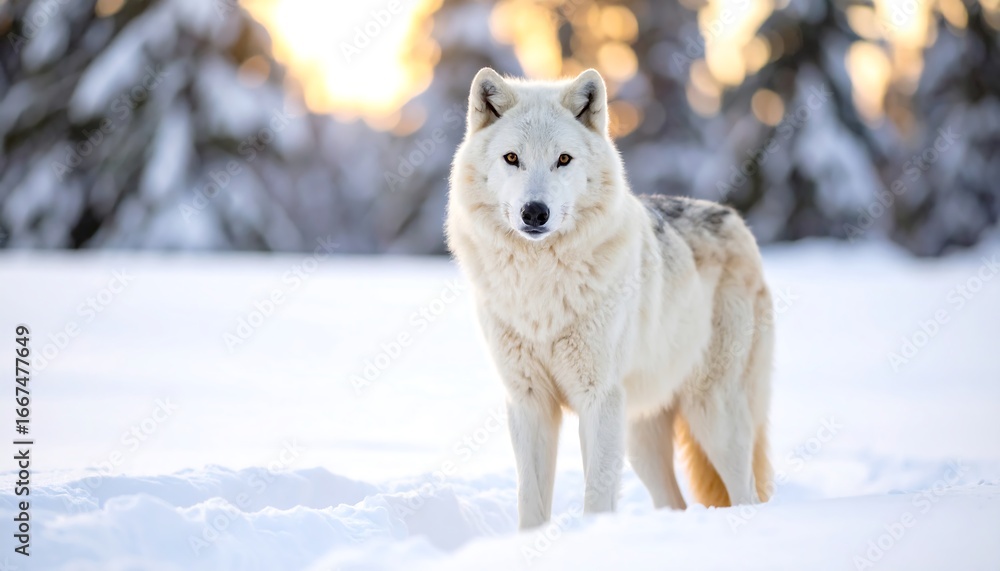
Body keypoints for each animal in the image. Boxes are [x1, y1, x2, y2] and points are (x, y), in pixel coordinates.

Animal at [446, 68, 773, 529]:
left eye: (563, 160)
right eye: (512, 158)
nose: (535, 212)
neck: (540, 287)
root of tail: (737, 222)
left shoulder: (598, 398)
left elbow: (597, 494)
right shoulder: (529, 402)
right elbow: (531, 499)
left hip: (715, 417)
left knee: (747, 493)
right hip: (640, 436)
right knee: (675, 501)